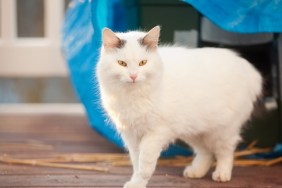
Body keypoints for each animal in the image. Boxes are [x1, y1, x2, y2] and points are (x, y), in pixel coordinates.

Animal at [96, 25, 262, 188]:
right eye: (122, 63)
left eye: (143, 63)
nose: (133, 76)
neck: (133, 95)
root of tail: (245, 66)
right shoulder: (131, 135)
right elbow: (136, 162)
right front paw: (136, 182)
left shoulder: (155, 133)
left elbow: (144, 164)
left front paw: (139, 182)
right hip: (194, 130)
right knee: (206, 152)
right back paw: (196, 171)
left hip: (222, 130)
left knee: (225, 152)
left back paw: (222, 174)